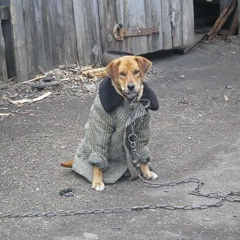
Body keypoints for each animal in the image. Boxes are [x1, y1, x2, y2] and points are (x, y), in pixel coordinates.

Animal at [61, 55, 158, 191]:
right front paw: (97, 181)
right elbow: (99, 157)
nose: (131, 86)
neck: (130, 102)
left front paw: (146, 172)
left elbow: (141, 149)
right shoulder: (103, 131)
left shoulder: (141, 130)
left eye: (136, 72)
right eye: (122, 73)